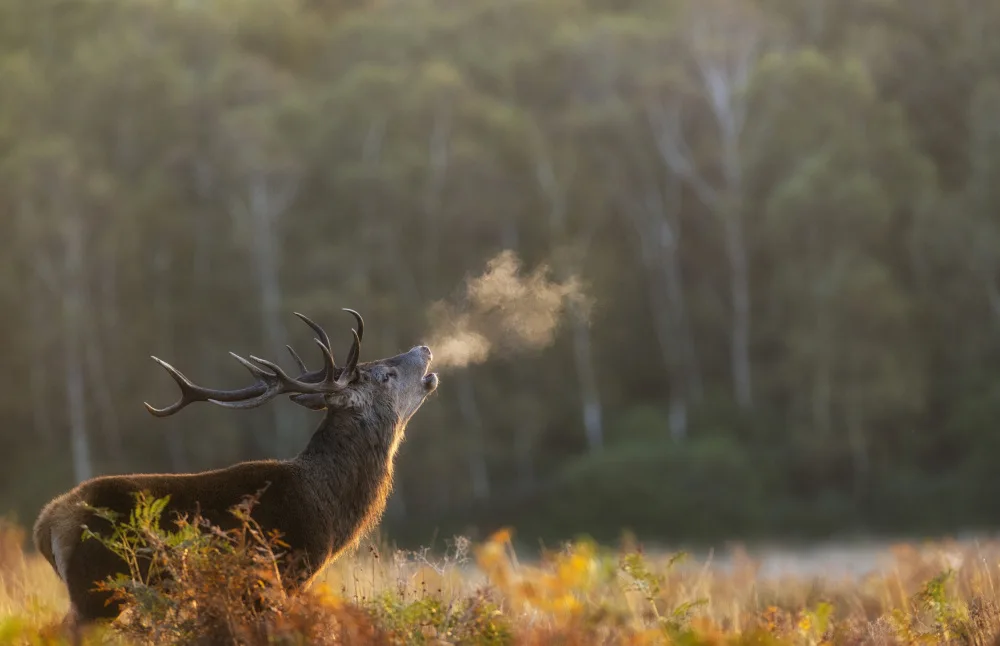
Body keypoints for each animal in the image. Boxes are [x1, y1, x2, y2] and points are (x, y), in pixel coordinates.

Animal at [33, 309, 439, 625]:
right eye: (384, 374)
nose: (424, 348)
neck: (328, 509)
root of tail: (45, 524)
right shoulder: (277, 574)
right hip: (97, 590)